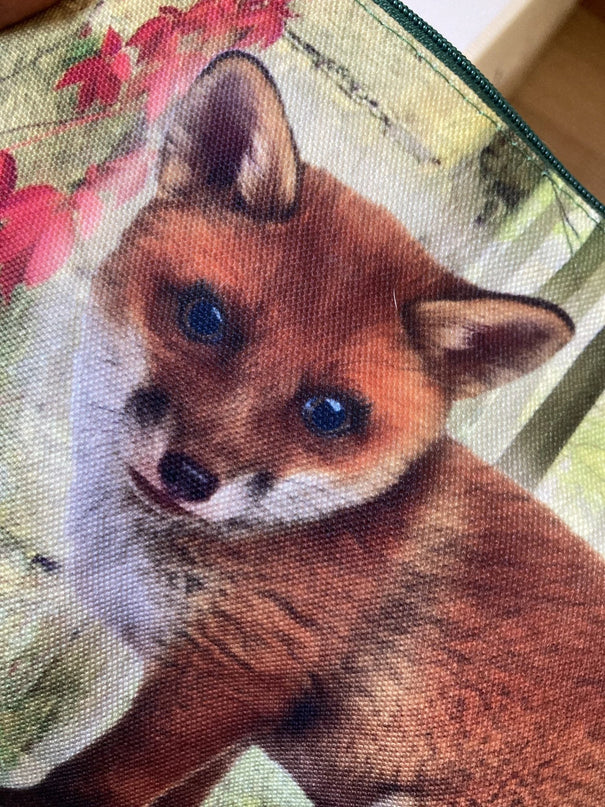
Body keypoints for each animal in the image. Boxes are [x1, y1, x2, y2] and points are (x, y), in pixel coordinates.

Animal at [2, 51, 604, 807]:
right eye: (205, 318)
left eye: (329, 412)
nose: (189, 476)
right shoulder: (232, 721)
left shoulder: (233, 674)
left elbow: (91, 782)